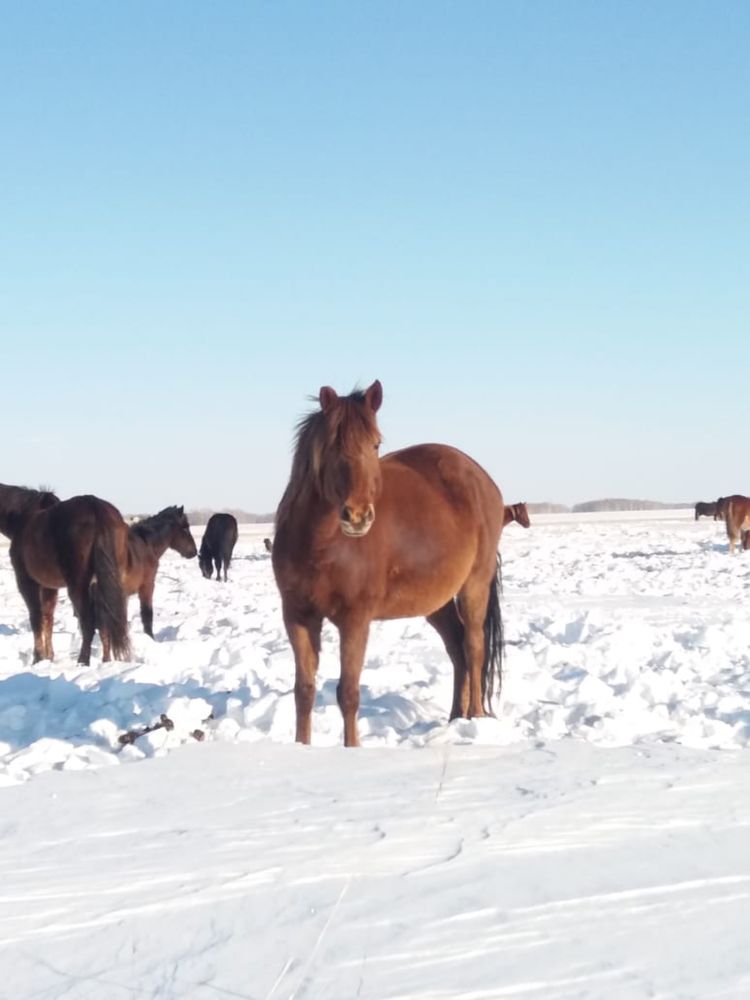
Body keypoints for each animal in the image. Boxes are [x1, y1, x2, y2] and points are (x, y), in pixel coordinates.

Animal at [0, 482, 131, 664]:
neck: (23, 517)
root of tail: (95, 506)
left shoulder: (27, 581)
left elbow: (36, 617)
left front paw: (38, 658)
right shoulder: (49, 586)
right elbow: (48, 618)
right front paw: (49, 656)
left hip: (78, 586)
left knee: (88, 622)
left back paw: (83, 660)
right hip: (107, 582)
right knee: (106, 620)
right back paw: (106, 660)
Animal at [274, 378, 508, 748]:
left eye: (376, 444)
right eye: (331, 446)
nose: (358, 516)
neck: (320, 545)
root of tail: (480, 476)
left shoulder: (355, 618)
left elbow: (348, 692)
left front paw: (352, 749)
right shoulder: (297, 615)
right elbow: (304, 691)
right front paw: (302, 747)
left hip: (475, 585)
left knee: (473, 646)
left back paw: (474, 719)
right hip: (436, 602)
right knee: (457, 648)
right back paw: (455, 717)